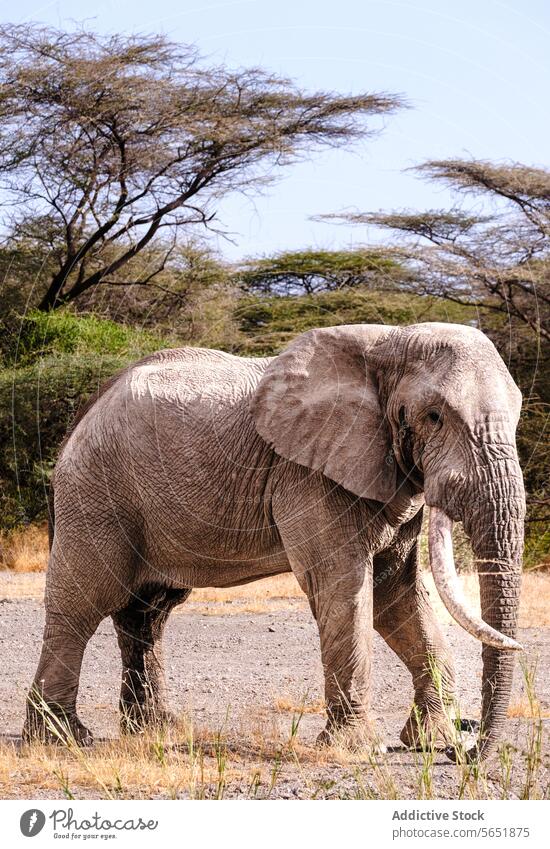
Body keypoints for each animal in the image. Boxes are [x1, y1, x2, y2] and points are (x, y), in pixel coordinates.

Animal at [24, 322, 528, 760]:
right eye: (434, 416)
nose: (466, 749)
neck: (388, 343)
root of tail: (85, 413)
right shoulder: (307, 474)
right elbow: (342, 586)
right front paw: (361, 749)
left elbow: (397, 594)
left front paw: (431, 741)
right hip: (96, 493)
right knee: (82, 604)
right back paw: (63, 739)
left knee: (148, 613)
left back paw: (157, 731)